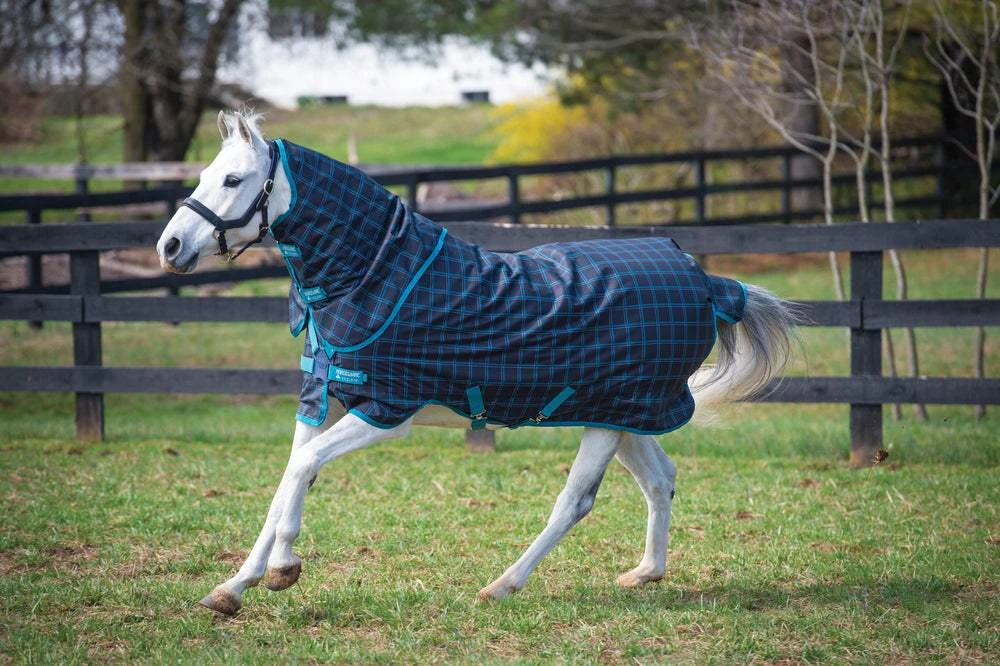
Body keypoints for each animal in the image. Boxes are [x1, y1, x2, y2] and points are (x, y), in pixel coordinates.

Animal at [156, 110, 796, 616]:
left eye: (233, 179)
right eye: (203, 176)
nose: (170, 248)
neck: (375, 275)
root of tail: (707, 282)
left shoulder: (388, 410)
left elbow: (303, 468)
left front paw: (283, 569)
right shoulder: (326, 397)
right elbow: (290, 477)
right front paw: (234, 588)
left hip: (611, 418)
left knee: (576, 502)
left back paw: (502, 586)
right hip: (623, 416)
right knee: (660, 479)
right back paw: (644, 573)